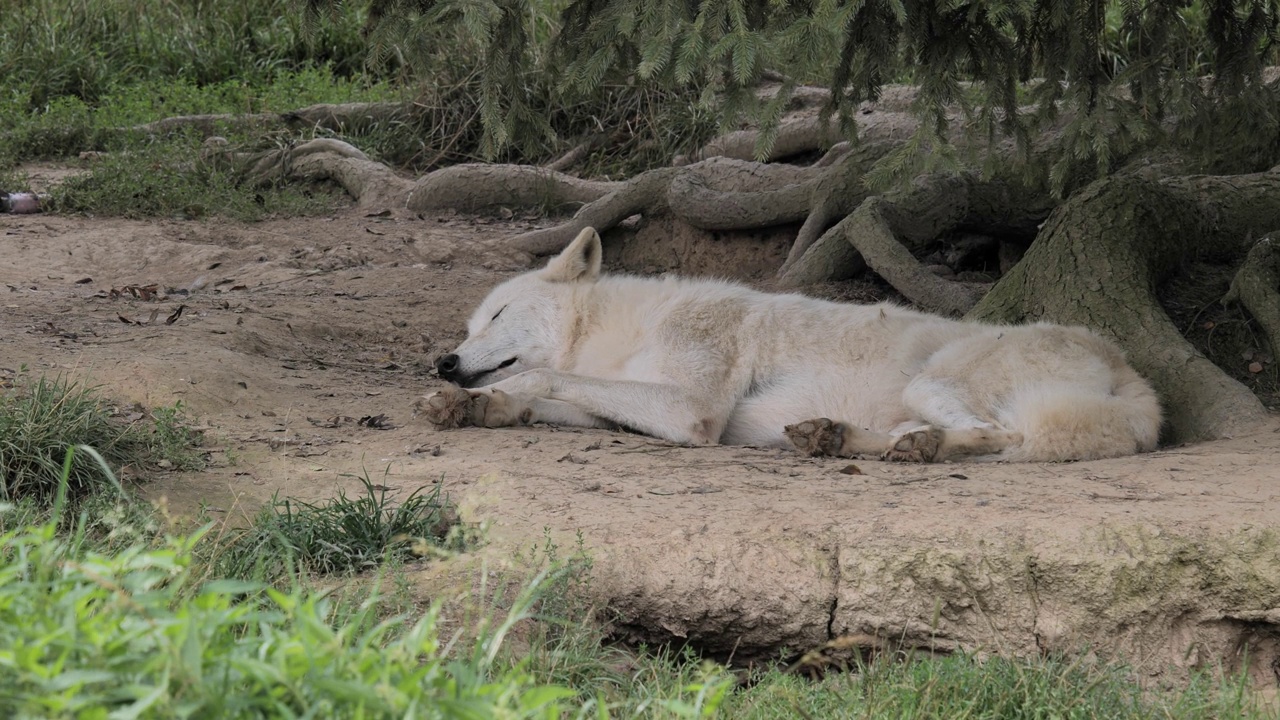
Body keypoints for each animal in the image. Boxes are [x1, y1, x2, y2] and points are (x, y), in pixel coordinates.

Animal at [424, 226, 1167, 458]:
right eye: (466, 327)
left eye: (495, 316)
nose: (444, 359)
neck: (626, 330)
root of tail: (1130, 370)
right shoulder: (626, 404)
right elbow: (548, 401)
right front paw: (476, 407)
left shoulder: (691, 410)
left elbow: (544, 378)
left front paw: (489, 395)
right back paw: (836, 437)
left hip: (933, 380)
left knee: (999, 438)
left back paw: (902, 447)